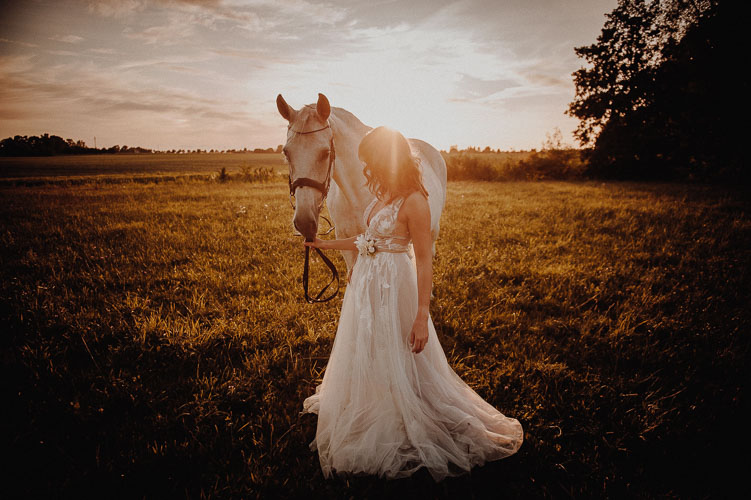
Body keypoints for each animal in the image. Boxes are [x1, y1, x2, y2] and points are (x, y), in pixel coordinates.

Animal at [280, 93, 450, 274]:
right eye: (286, 152)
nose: (304, 223)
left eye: (325, 153)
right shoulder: (347, 244)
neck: (354, 195)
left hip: (431, 231)